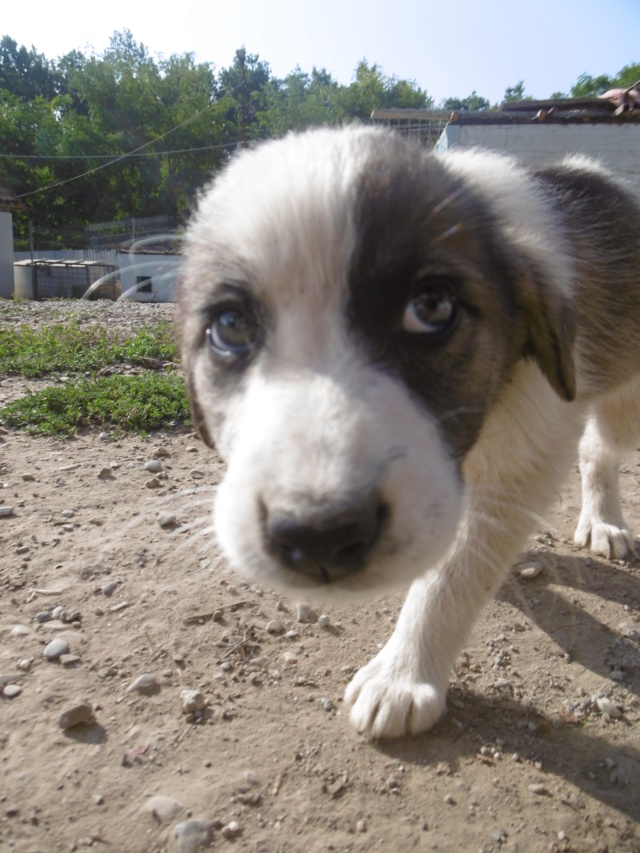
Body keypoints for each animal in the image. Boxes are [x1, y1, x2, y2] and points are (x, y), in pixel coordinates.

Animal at [178, 126, 640, 740]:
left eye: (432, 308)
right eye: (230, 327)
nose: (320, 537)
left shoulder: (525, 458)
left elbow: (454, 575)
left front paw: (402, 675)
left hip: (628, 401)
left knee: (599, 447)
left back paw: (604, 521)